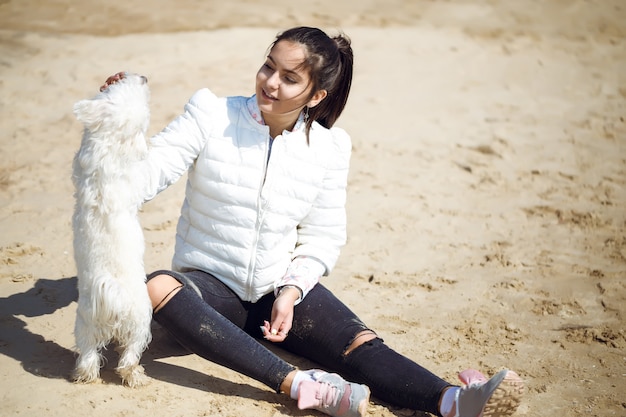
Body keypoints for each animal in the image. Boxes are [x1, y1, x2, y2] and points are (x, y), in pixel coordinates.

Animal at [71, 72, 152, 386]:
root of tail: (114, 297)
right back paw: (136, 376)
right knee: (129, 356)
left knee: (88, 355)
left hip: (84, 324)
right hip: (142, 321)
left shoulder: (83, 159)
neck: (110, 142)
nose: (143, 76)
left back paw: (86, 376)